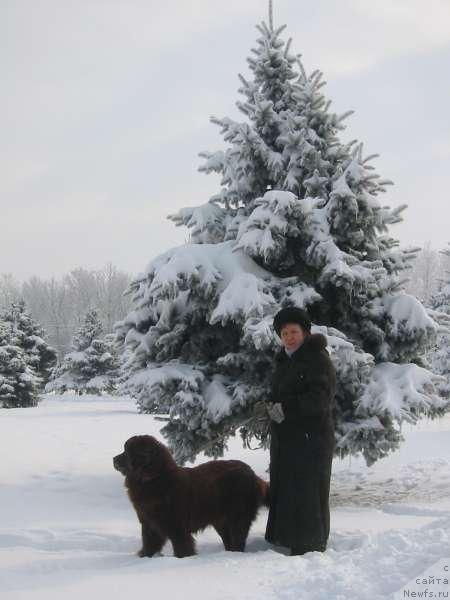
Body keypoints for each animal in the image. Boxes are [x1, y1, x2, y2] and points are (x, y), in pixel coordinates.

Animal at [114, 436, 268, 556]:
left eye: (127, 452)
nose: (114, 459)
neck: (153, 478)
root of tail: (253, 474)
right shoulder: (149, 523)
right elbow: (149, 543)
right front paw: (145, 557)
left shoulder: (177, 526)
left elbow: (182, 547)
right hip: (221, 521)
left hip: (237, 517)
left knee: (238, 539)